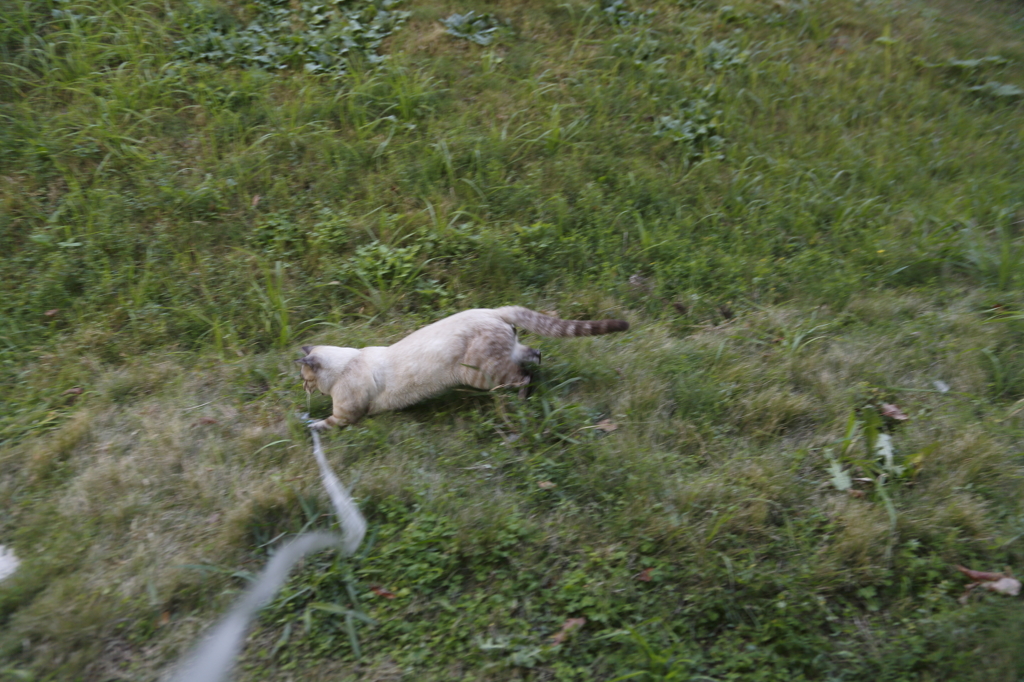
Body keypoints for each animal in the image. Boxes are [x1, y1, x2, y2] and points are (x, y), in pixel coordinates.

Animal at [299, 305, 626, 428]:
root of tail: (493, 310)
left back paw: (519, 405)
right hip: (505, 356)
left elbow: (323, 424)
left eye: (305, 379)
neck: (348, 363)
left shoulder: (346, 414)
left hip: (484, 375)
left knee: (524, 377)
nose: (303, 388)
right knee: (535, 355)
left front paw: (308, 425)